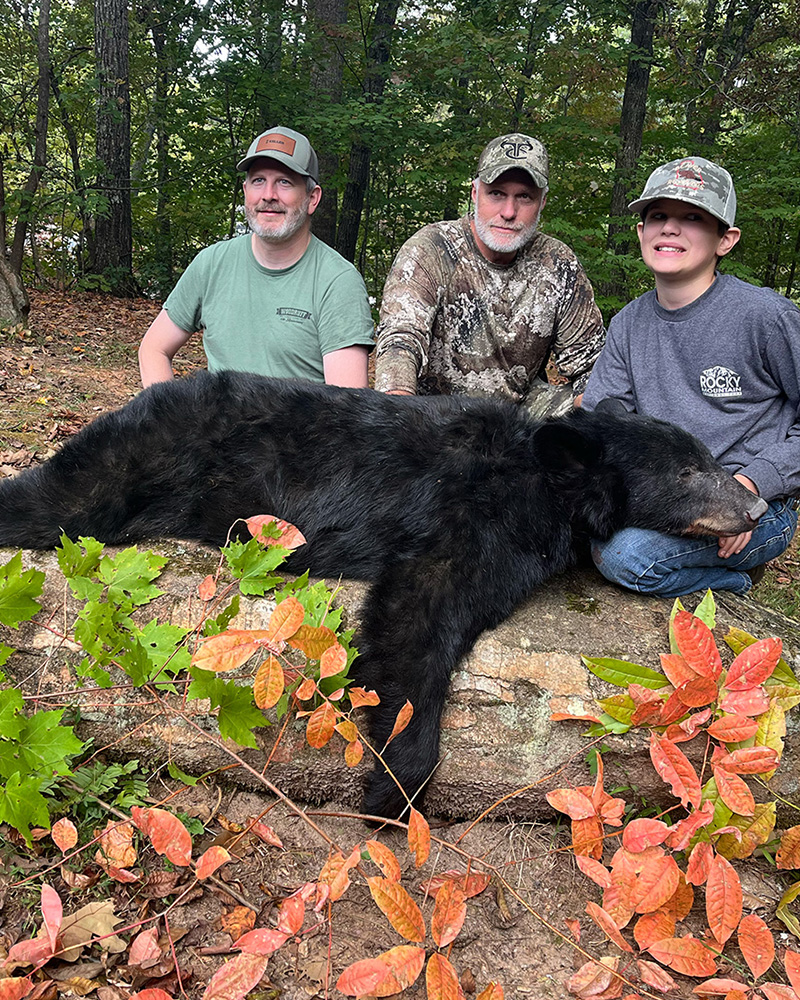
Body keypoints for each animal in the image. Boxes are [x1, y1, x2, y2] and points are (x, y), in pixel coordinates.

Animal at [0, 371, 767, 818]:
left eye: (709, 460)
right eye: (690, 471)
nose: (756, 509)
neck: (547, 481)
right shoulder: (471, 517)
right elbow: (416, 615)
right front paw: (393, 785)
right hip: (142, 458)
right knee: (58, 497)